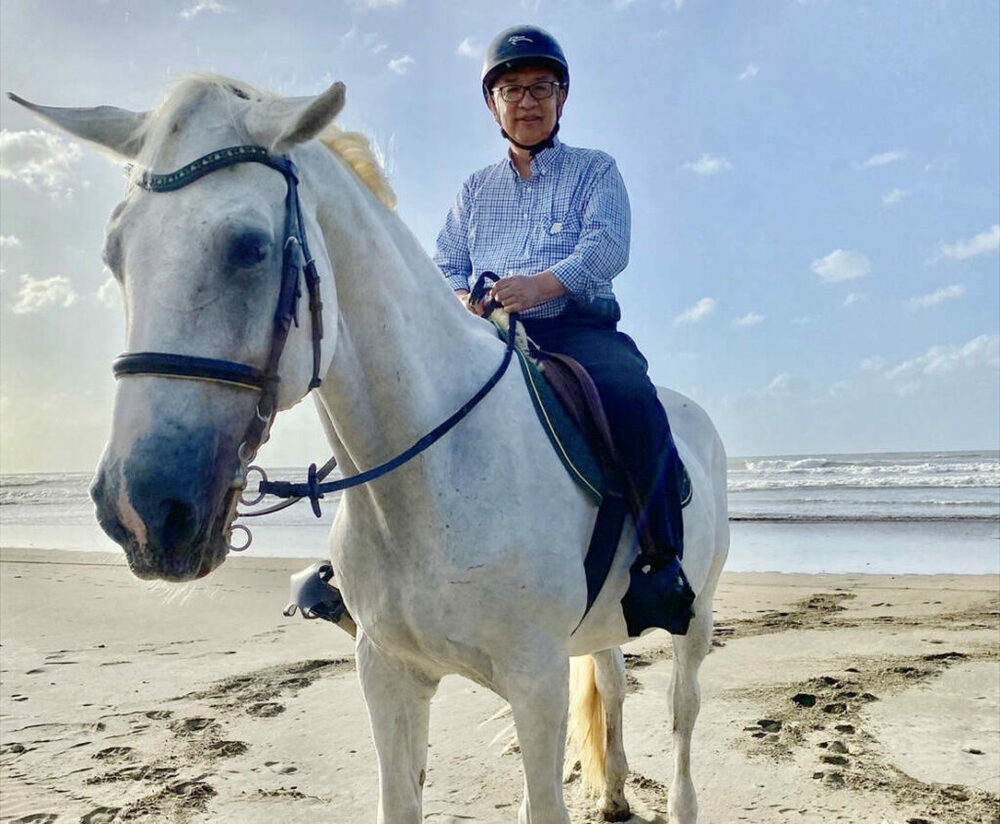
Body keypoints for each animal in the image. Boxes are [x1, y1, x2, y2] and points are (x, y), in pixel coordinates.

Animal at [11, 76, 729, 824]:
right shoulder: (387, 674)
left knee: (682, 711)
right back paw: (614, 793)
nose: (142, 511)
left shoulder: (536, 683)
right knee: (613, 682)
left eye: (250, 247)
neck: (431, 481)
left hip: (695, 617)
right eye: (116, 255)